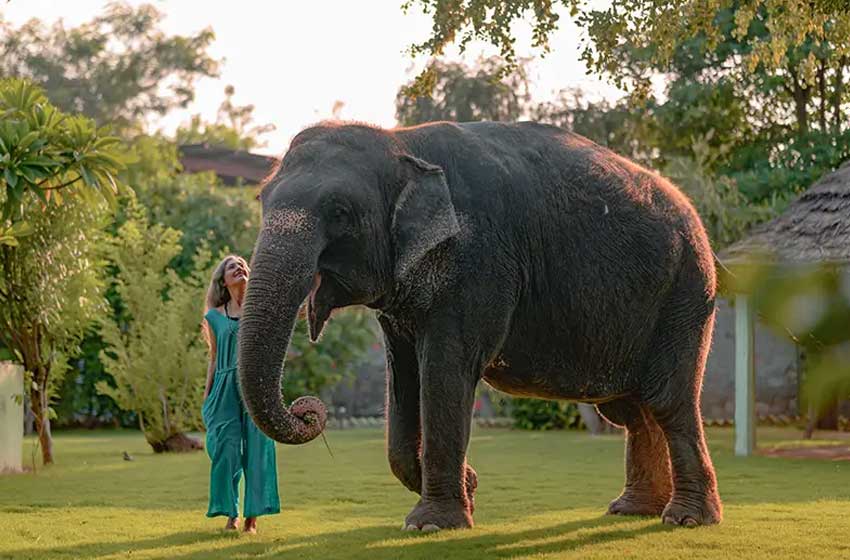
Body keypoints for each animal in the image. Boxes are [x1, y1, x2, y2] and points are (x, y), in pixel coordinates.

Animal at [238, 120, 723, 531]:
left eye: (339, 212)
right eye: (261, 201)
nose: (308, 409)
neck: (401, 142)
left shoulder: (479, 263)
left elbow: (445, 374)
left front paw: (432, 524)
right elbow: (404, 379)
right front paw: (465, 492)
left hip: (686, 293)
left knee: (667, 401)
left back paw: (685, 519)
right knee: (633, 411)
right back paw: (631, 511)